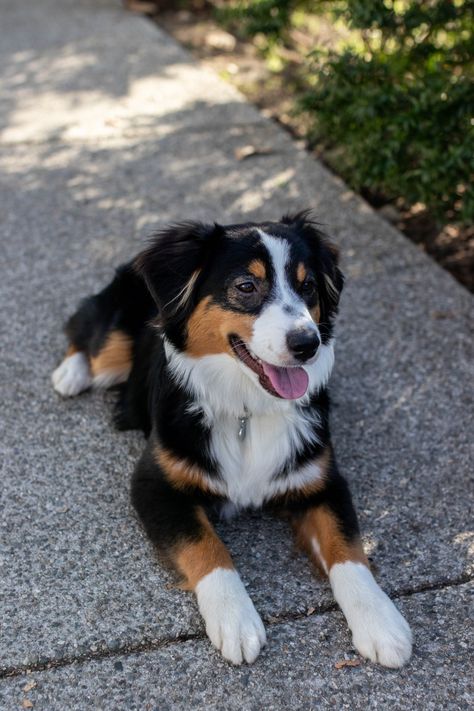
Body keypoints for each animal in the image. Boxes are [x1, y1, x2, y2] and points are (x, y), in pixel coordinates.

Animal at [51, 211, 412, 668]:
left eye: (308, 285)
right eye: (246, 286)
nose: (307, 343)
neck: (246, 409)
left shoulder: (322, 480)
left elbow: (348, 549)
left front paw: (381, 622)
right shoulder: (154, 484)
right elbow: (207, 546)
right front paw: (236, 621)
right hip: (113, 346)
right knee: (85, 334)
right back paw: (69, 374)